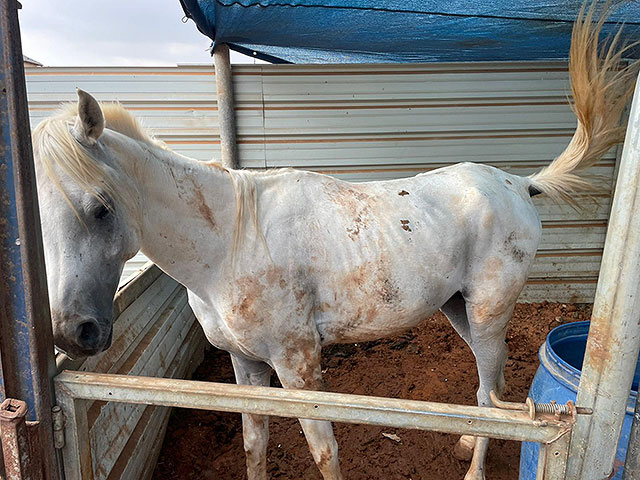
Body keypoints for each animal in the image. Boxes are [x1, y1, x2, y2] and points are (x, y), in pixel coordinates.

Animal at [36, 7, 640, 480]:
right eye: (37, 221)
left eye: (100, 207)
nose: (73, 332)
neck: (227, 243)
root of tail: (517, 183)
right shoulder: (245, 368)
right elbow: (254, 446)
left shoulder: (299, 366)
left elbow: (324, 453)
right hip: (458, 309)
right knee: (487, 386)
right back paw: (467, 439)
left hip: (489, 311)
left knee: (490, 392)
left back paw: (473, 468)